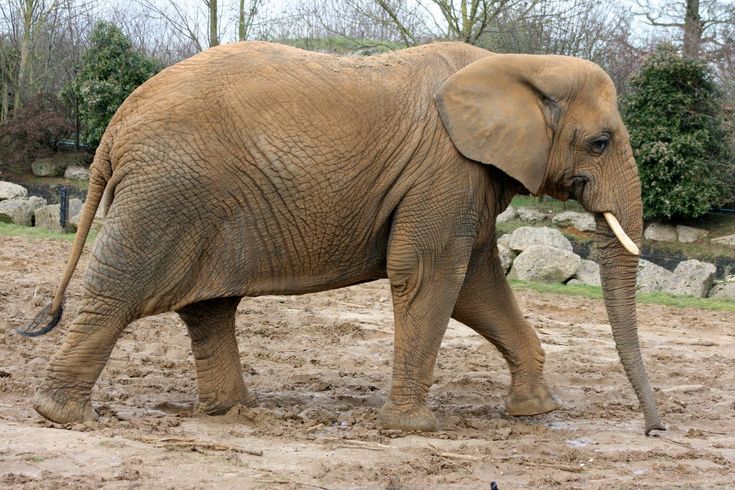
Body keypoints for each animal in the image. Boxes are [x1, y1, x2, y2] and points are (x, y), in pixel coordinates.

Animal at [20, 40, 668, 434]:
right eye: (601, 143)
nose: (653, 427)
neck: (518, 64)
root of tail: (114, 127)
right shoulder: (445, 170)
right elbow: (431, 274)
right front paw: (413, 429)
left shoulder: (465, 179)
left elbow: (476, 286)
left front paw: (535, 412)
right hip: (167, 195)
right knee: (121, 293)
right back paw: (62, 416)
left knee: (208, 306)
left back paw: (234, 412)